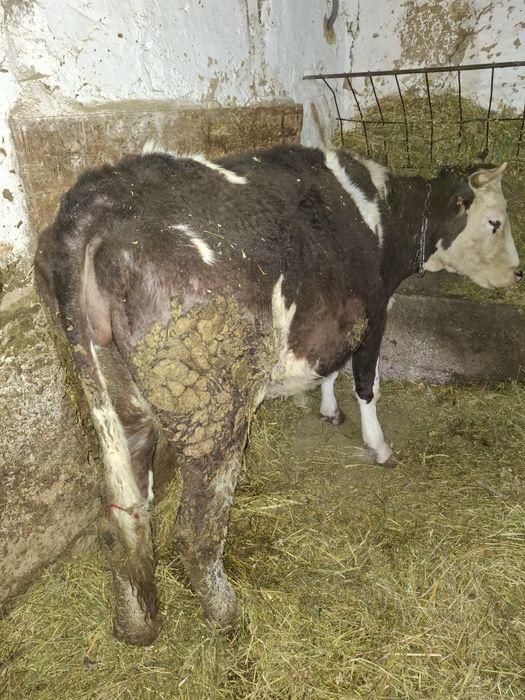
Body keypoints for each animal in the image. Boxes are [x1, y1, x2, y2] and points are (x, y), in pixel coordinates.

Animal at [34, 143, 522, 646]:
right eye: (495, 221)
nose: (517, 272)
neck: (385, 216)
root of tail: (99, 201)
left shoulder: (334, 318)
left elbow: (329, 368)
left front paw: (328, 409)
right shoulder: (374, 309)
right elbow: (366, 383)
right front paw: (379, 446)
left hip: (115, 397)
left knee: (125, 515)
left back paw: (136, 623)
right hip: (212, 410)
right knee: (195, 531)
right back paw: (226, 612)